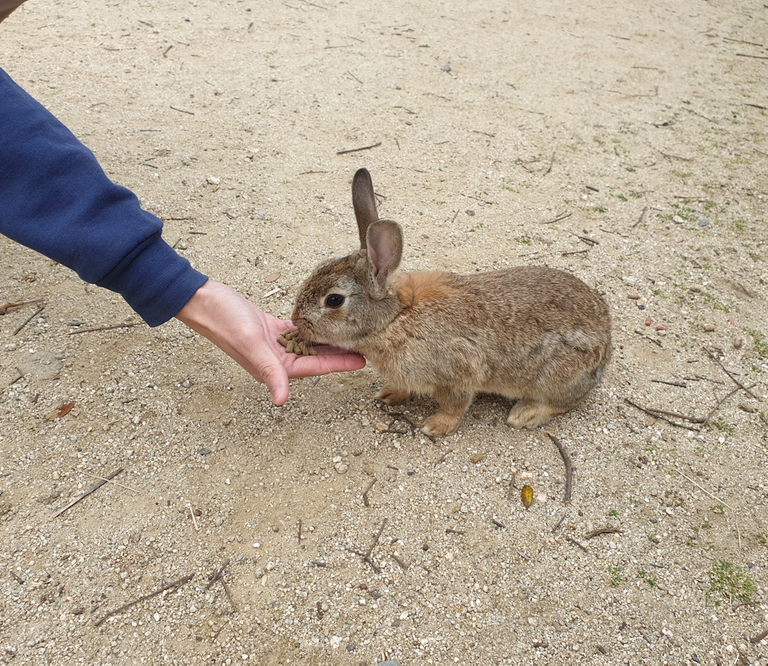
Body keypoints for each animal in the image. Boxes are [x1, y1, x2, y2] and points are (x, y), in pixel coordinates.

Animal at [291, 168, 612, 437]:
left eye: (334, 300)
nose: (296, 321)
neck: (395, 318)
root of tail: (606, 347)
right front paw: (389, 394)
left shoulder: (457, 373)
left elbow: (453, 405)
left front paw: (435, 427)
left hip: (554, 375)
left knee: (568, 400)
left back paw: (525, 414)